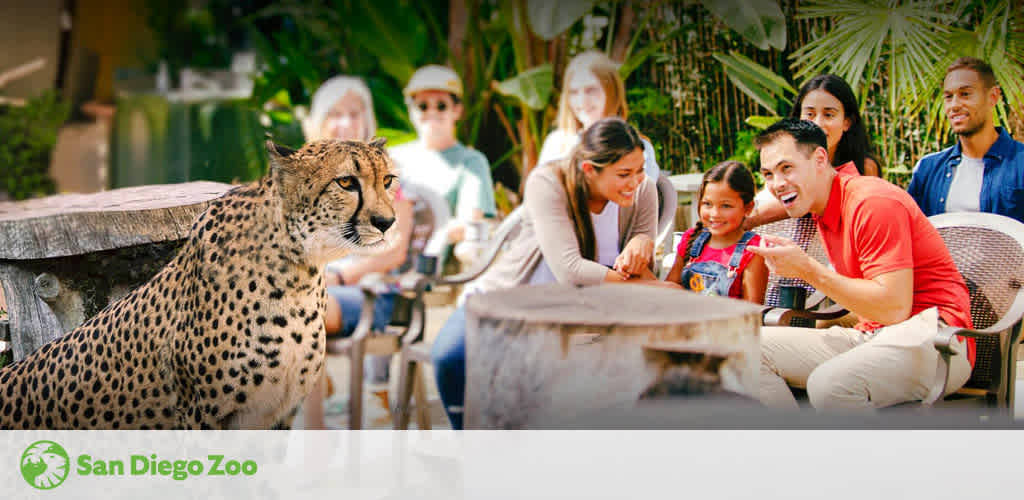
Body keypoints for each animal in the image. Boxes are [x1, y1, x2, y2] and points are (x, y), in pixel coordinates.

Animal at [0, 139, 397, 430]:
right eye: (346, 182)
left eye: (388, 181)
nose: (387, 222)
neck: (299, 272)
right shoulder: (205, 416)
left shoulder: (277, 414)